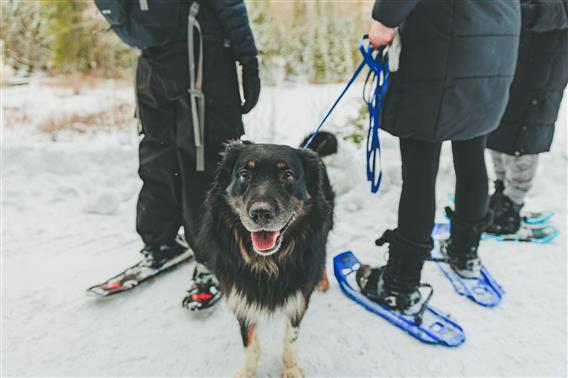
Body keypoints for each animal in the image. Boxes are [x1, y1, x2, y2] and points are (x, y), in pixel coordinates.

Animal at [199, 140, 336, 378]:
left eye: (287, 175)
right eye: (244, 174)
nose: (260, 213)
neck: (267, 262)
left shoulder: (298, 295)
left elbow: (291, 336)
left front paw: (291, 368)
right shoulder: (240, 295)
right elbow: (248, 340)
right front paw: (247, 371)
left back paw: (322, 280)